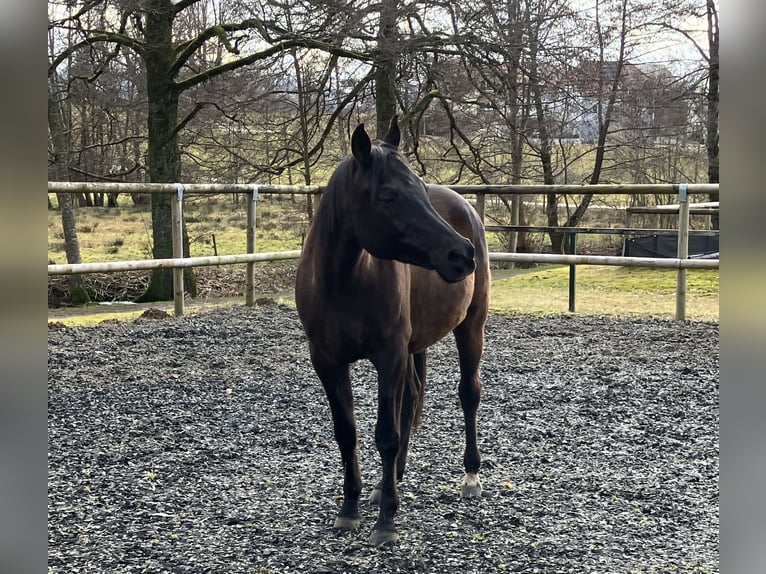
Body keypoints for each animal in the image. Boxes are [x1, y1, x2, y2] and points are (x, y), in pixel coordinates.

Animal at [295, 115, 490, 546]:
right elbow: (347, 432)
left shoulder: (389, 355)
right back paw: (391, 481)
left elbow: (386, 433)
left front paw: (386, 521)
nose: (461, 254)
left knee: (468, 393)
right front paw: (350, 508)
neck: (343, 281)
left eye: (418, 189)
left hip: (471, 327)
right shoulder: (327, 362)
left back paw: (470, 476)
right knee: (411, 399)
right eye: (387, 197)